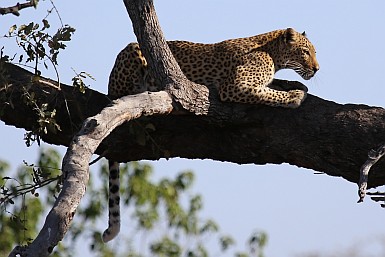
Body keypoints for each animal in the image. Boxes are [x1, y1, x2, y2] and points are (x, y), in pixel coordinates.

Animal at [101, 28, 318, 242]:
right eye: (305, 52)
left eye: (313, 52)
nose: (317, 68)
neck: (273, 53)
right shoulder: (236, 86)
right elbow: (271, 94)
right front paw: (295, 96)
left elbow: (276, 84)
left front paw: (296, 85)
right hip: (132, 54)